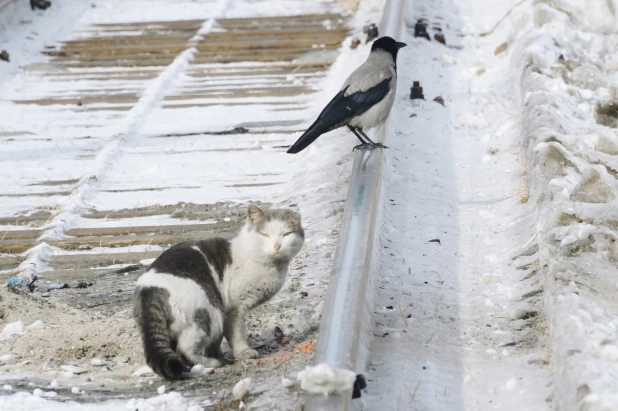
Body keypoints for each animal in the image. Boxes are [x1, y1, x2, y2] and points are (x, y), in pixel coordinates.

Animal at [132, 204, 304, 382]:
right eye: (265, 234)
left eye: (286, 234)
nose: (277, 246)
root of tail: (149, 288)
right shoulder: (233, 309)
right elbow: (236, 334)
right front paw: (243, 352)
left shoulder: (224, 314)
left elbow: (217, 340)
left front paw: (219, 354)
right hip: (208, 313)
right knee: (184, 348)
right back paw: (210, 363)